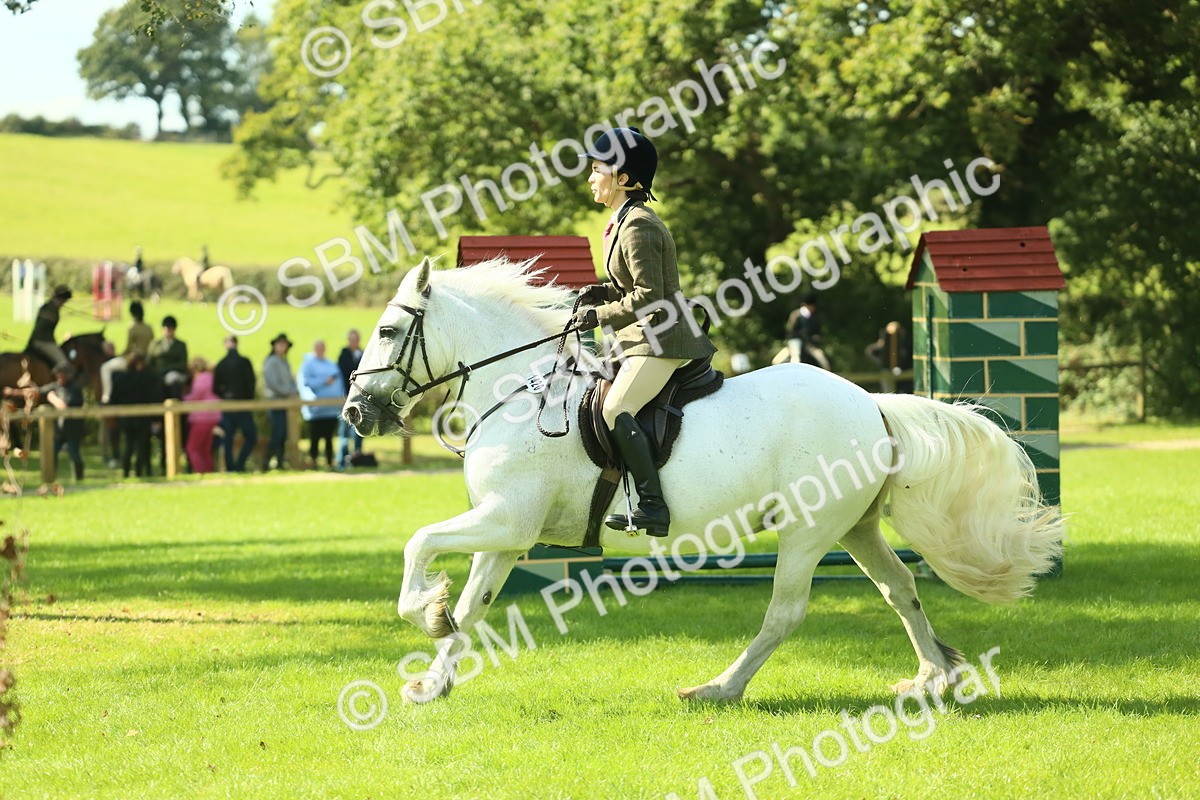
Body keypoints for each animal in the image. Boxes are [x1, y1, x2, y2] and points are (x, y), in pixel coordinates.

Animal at [343, 257, 1064, 705]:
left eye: (387, 330)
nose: (354, 412)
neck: (518, 391)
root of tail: (873, 403)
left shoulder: (503, 519)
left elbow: (418, 543)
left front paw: (423, 610)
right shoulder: (508, 532)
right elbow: (472, 608)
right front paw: (432, 680)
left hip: (807, 532)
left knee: (786, 611)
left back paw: (720, 688)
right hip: (855, 528)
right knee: (901, 588)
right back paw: (933, 679)